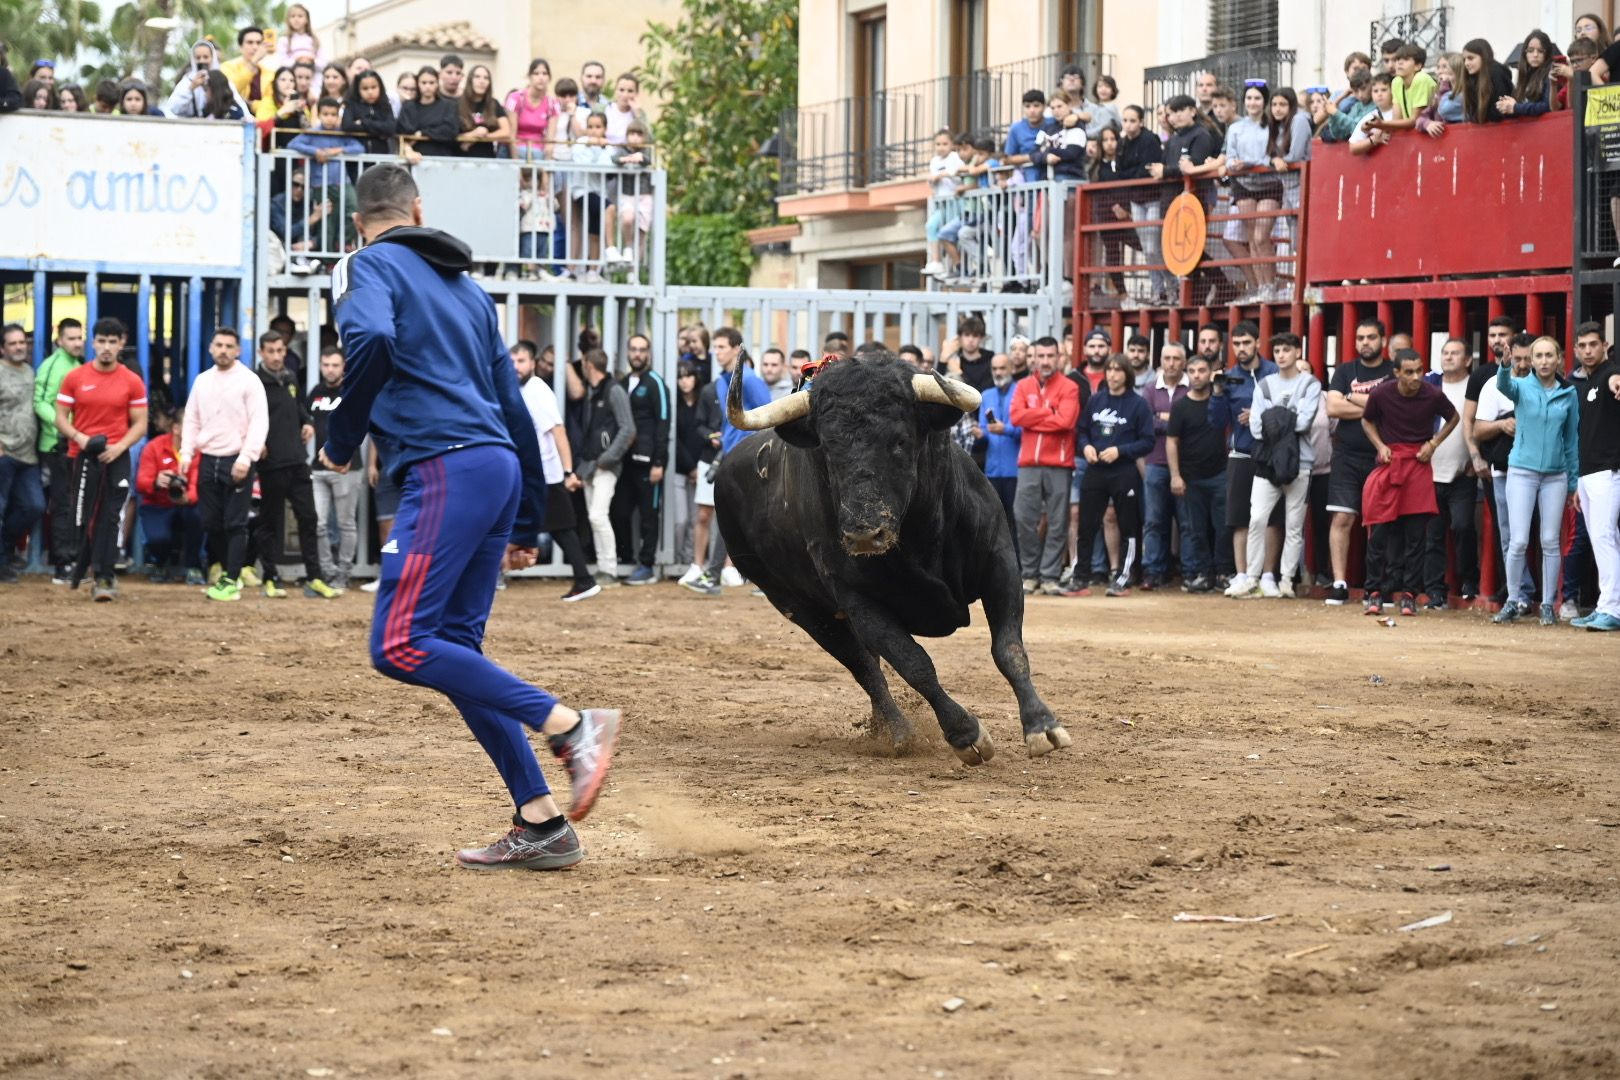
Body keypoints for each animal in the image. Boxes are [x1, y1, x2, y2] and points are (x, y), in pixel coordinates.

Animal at [716, 354, 1069, 761]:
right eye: (828, 448)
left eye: (900, 440)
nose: (864, 534)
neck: (919, 536)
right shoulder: (859, 602)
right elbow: (914, 664)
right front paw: (965, 733)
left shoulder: (1000, 564)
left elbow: (1008, 649)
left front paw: (1042, 726)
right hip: (801, 608)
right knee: (864, 666)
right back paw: (897, 731)